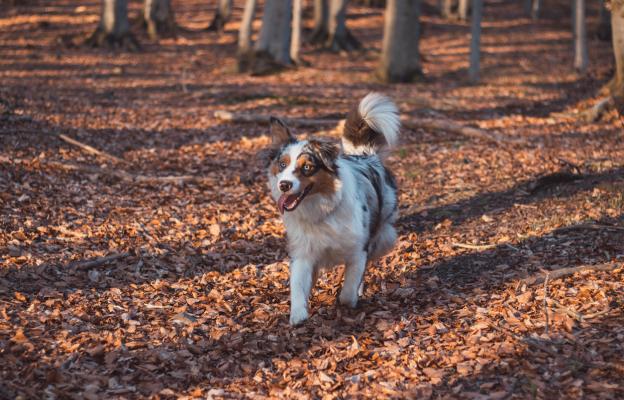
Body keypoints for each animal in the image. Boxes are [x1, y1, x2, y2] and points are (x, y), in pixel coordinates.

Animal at [264, 93, 400, 324]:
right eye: (282, 164)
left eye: (307, 167)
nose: (284, 185)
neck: (322, 208)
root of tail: (367, 155)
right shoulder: (303, 252)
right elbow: (297, 286)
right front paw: (298, 315)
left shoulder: (358, 250)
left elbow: (348, 291)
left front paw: (347, 300)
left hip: (384, 237)